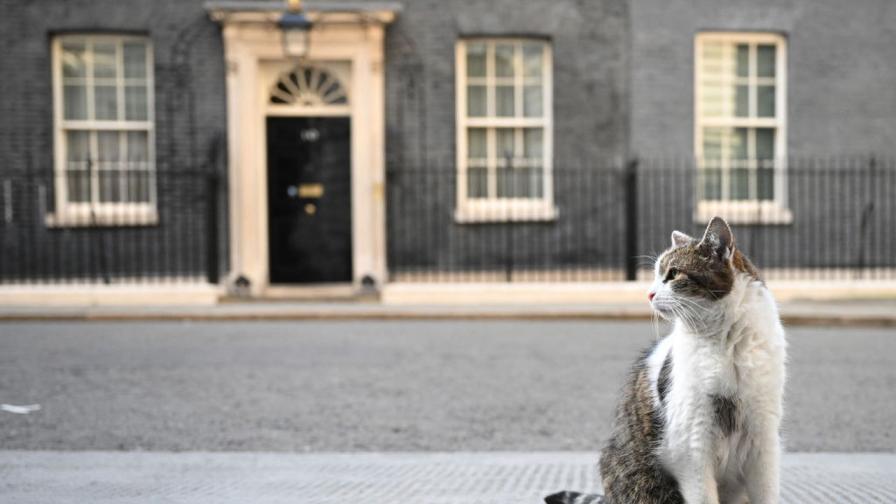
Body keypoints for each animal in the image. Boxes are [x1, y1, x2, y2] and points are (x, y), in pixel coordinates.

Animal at [548, 217, 788, 504]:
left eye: (673, 274)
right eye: (655, 275)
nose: (649, 294)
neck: (727, 344)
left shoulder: (763, 437)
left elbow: (767, 493)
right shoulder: (693, 444)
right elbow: (704, 497)